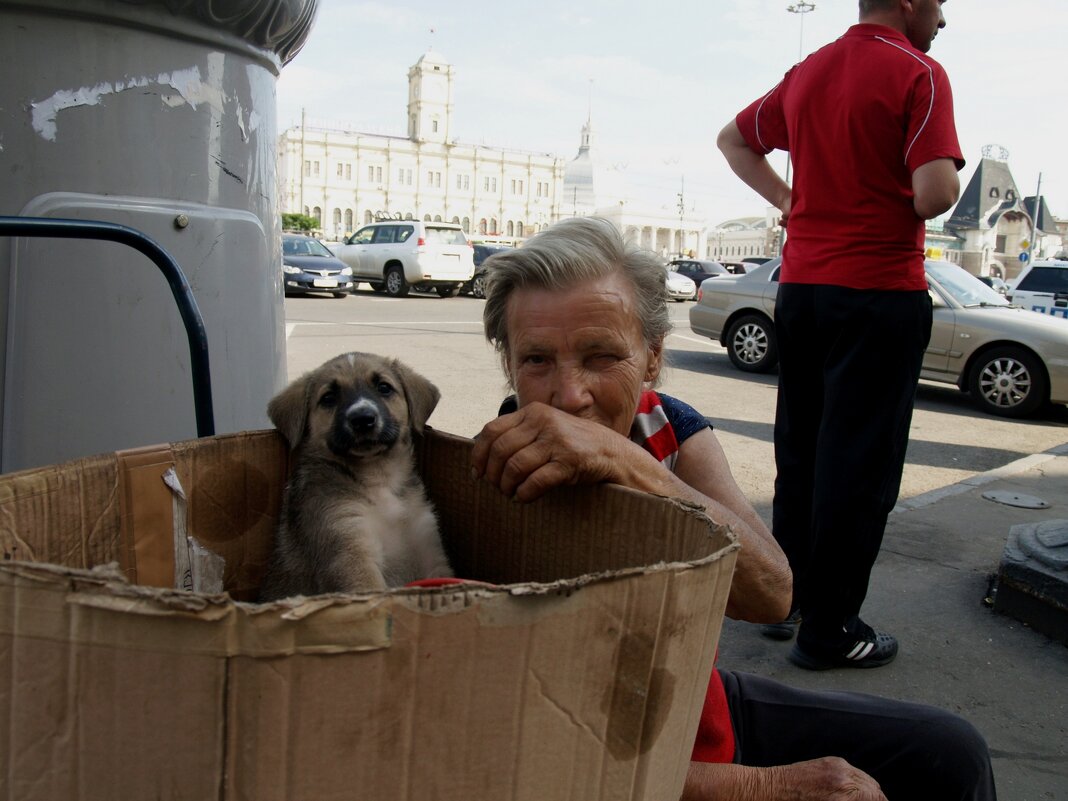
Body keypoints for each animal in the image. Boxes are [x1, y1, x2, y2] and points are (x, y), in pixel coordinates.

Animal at [262, 352, 454, 602]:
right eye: (328, 397)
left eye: (384, 387)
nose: (362, 419)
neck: (378, 476)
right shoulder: (348, 548)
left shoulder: (428, 547)